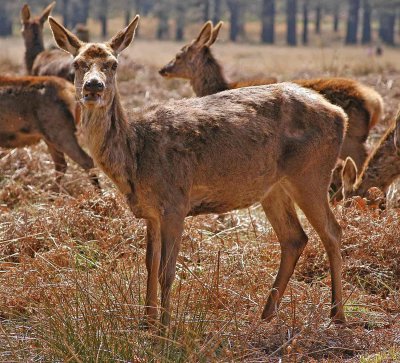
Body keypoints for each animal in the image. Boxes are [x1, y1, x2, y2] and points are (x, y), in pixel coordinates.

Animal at [48, 14, 348, 330]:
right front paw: (146, 322)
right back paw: (266, 314)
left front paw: (165, 328)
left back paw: (337, 315)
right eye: (77, 63)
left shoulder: (175, 203)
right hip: (274, 188)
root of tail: (340, 115)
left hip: (312, 173)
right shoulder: (151, 212)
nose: (94, 87)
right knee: (294, 238)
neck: (135, 156)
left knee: (332, 232)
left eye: (113, 63)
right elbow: (148, 265)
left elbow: (166, 271)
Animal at [159, 21, 384, 175]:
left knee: (363, 158)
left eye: (179, 55)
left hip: (352, 138)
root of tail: (375, 101)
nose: (163, 69)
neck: (219, 87)